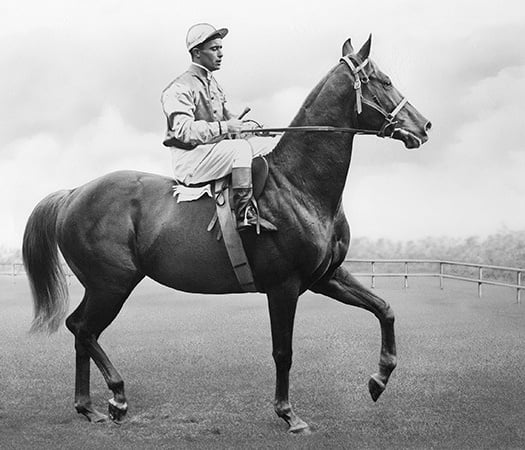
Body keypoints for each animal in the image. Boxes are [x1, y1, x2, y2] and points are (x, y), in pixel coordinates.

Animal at [22, 36, 430, 432]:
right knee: (83, 329)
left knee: (80, 331)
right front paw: (288, 414)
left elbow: (384, 309)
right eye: (385, 81)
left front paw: (379, 378)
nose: (424, 126)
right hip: (113, 285)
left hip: (102, 286)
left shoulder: (325, 277)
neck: (297, 183)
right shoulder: (284, 286)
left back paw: (88, 407)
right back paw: (117, 397)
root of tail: (74, 193)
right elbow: (283, 351)